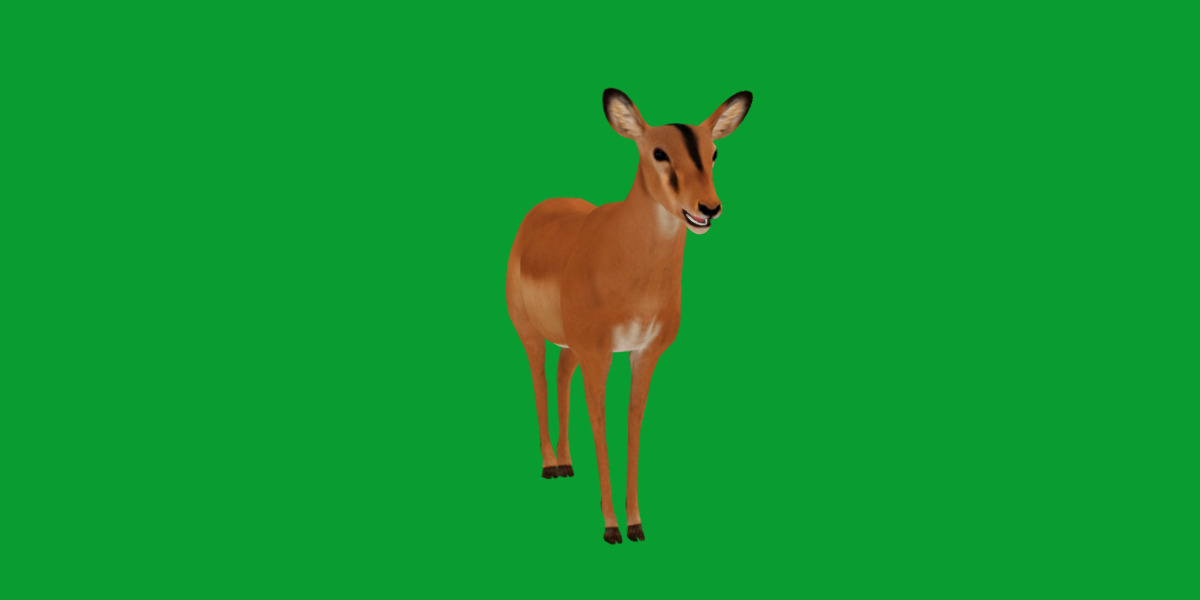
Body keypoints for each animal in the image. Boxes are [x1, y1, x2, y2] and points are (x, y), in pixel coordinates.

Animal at [505, 89, 753, 544]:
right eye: (658, 152)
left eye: (714, 152)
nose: (709, 208)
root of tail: (542, 207)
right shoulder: (599, 354)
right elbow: (600, 420)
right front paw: (610, 527)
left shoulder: (643, 353)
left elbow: (633, 421)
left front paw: (636, 523)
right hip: (531, 333)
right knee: (539, 380)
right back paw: (549, 466)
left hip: (572, 344)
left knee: (562, 373)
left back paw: (566, 465)